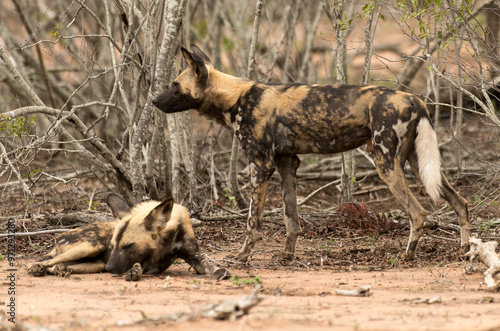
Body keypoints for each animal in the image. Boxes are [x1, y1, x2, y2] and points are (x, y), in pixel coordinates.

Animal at [28, 195, 228, 280]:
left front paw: (219, 271)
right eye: (114, 245)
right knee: (44, 262)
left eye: (128, 245)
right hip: (91, 247)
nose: (110, 269)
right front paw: (134, 272)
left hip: (96, 262)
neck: (165, 241)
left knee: (57, 266)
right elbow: (138, 264)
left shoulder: (194, 256)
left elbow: (208, 266)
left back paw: (58, 270)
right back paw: (37, 268)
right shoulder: (143, 260)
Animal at [150, 44, 470, 262]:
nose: (153, 101)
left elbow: (253, 221)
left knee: (418, 212)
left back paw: (407, 255)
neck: (236, 97)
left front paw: (242, 256)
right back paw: (466, 249)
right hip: (416, 163)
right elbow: (291, 217)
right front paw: (288, 255)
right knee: (460, 201)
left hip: (386, 164)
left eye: (175, 85)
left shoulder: (260, 166)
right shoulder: (286, 163)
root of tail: (415, 98)